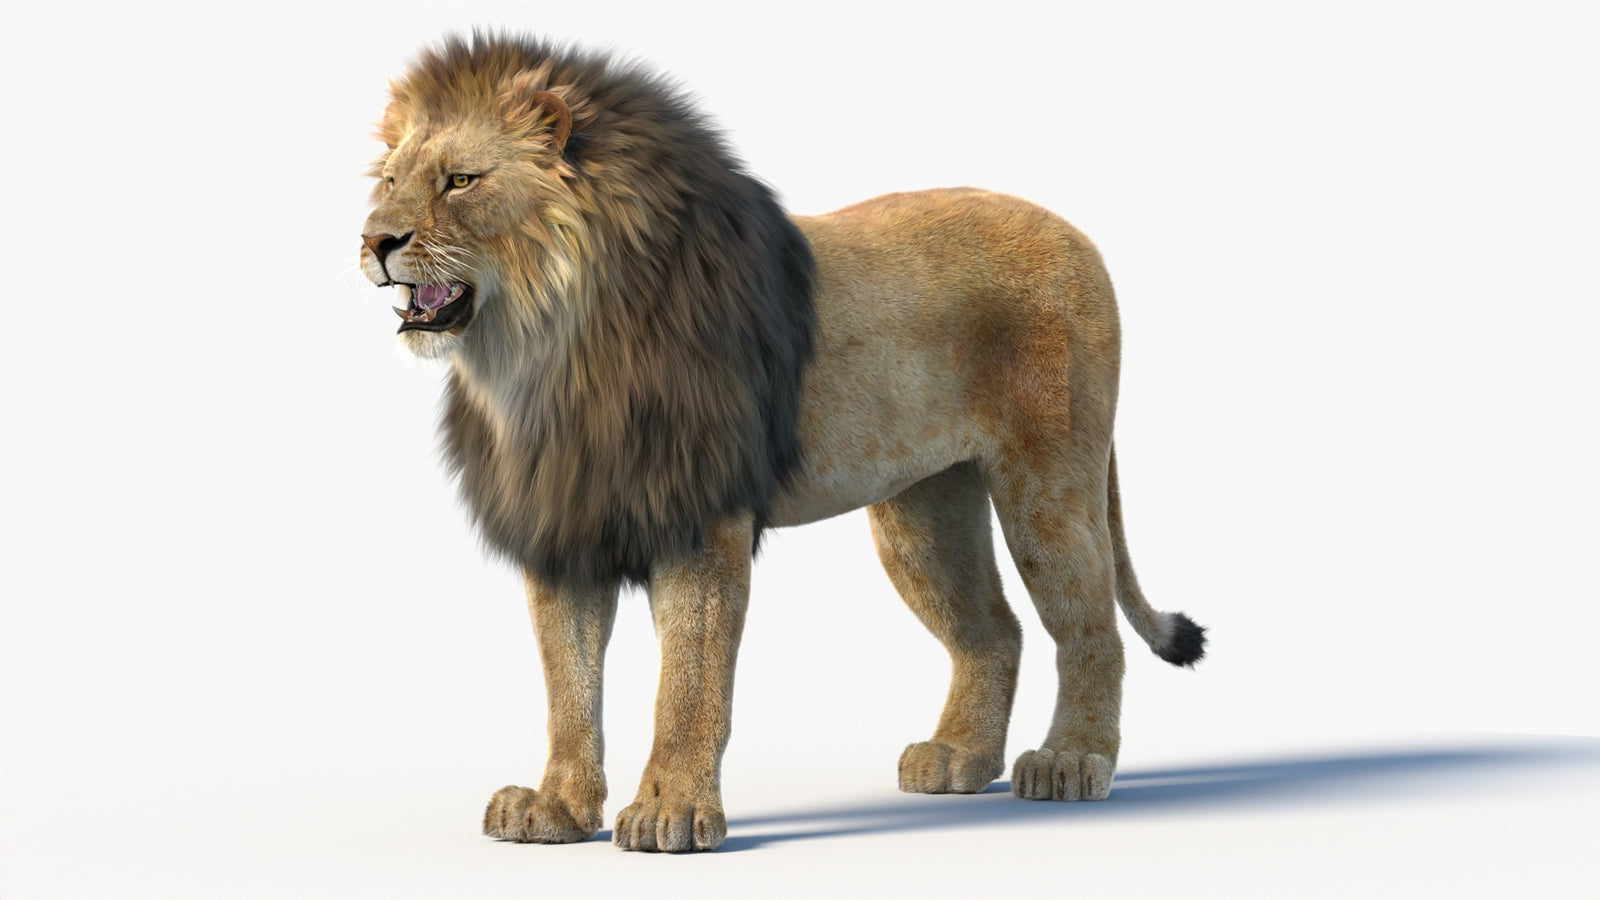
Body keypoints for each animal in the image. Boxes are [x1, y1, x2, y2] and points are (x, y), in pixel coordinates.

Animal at [359, 33, 1205, 853]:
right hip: (923, 512)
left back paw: (1072, 760)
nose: (372, 240)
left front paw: (669, 813)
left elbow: (689, 683)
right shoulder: (565, 525)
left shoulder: (700, 523)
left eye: (461, 181)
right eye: (390, 180)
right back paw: (958, 758)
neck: (546, 350)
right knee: (994, 631)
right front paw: (557, 809)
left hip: (1046, 485)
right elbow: (568, 687)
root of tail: (1076, 233)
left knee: (1091, 628)